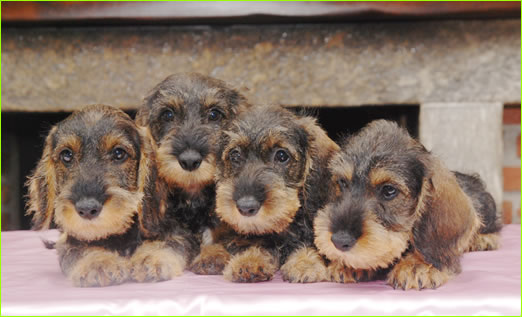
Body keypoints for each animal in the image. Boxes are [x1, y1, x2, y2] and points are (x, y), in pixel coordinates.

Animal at [26, 104, 193, 286]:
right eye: (66, 155)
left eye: (119, 153)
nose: (87, 209)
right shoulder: (70, 242)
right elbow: (79, 250)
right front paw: (98, 263)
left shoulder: (178, 233)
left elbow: (168, 243)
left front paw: (149, 257)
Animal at [135, 72, 251, 274]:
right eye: (168, 114)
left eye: (214, 114)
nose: (190, 160)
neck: (193, 197)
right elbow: (173, 241)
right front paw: (154, 258)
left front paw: (212, 255)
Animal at [206, 106, 338, 282]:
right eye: (235, 155)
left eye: (282, 155)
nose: (246, 207)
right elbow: (254, 242)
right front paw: (249, 260)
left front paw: (305, 263)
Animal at [312, 119, 500, 290]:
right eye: (343, 183)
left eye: (389, 190)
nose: (339, 241)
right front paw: (347, 264)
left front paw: (417, 265)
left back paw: (484, 239)